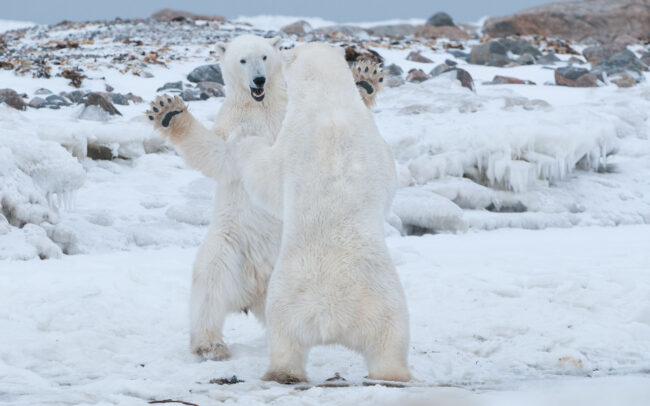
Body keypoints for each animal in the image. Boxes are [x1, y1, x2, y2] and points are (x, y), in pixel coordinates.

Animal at [146, 34, 386, 361]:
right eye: (242, 60)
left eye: (264, 56)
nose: (259, 80)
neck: (260, 106)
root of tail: (253, 290)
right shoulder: (234, 123)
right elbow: (218, 153)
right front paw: (168, 111)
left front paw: (365, 80)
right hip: (229, 246)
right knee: (209, 284)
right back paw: (210, 344)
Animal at [231, 42, 411, 383]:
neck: (328, 100)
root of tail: (329, 315)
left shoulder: (291, 140)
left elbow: (266, 176)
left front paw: (245, 138)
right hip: (304, 302)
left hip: (313, 299)